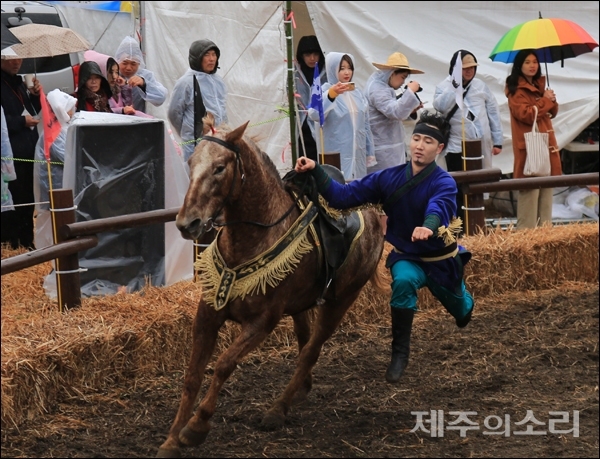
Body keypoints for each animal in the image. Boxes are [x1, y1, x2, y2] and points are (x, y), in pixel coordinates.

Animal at [157, 116, 386, 456]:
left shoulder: (262, 321)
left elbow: (223, 364)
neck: (252, 238)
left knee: (310, 351)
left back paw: (278, 409)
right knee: (304, 341)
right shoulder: (207, 316)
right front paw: (172, 439)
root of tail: (373, 215)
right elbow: (193, 375)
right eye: (191, 162)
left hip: (341, 301)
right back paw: (301, 389)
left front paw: (196, 427)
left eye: (220, 168)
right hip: (302, 305)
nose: (189, 223)